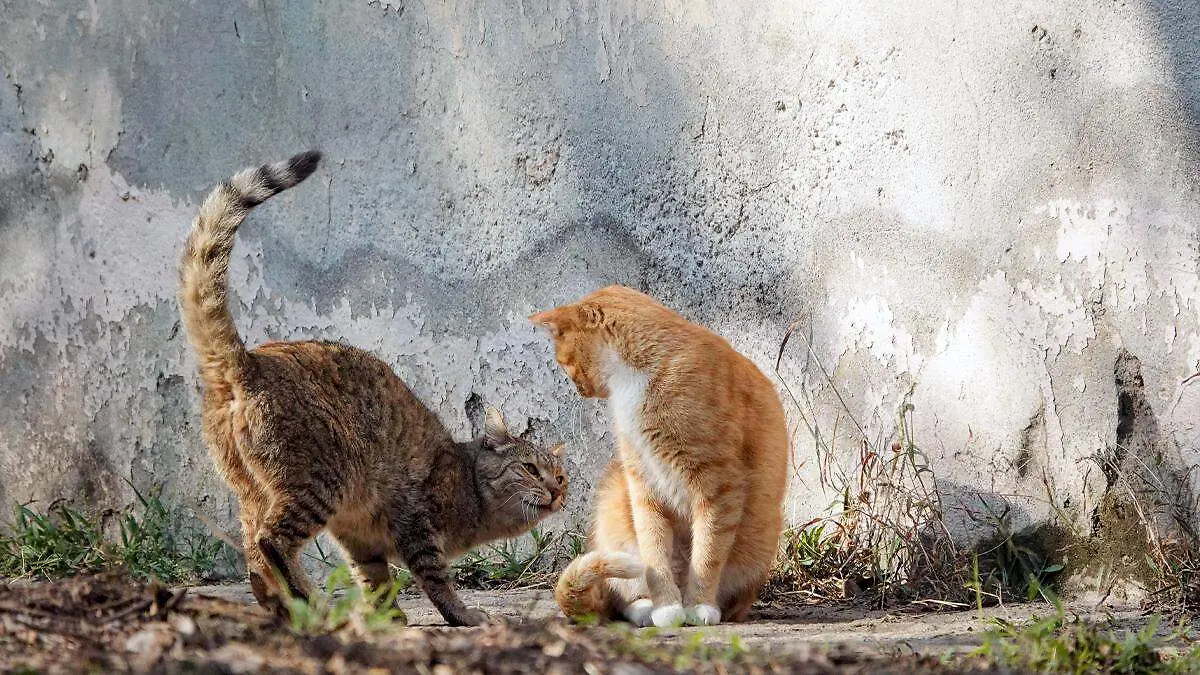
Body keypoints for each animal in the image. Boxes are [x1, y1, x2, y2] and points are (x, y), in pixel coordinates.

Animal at [178, 149, 566, 624]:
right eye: (529, 467)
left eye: (562, 477)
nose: (555, 491)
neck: (470, 487)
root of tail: (247, 362)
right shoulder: (414, 519)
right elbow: (435, 577)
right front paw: (462, 614)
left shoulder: (359, 537)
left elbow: (375, 580)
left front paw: (389, 620)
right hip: (319, 478)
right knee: (272, 541)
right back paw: (311, 601)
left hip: (254, 492)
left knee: (254, 555)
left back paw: (286, 607)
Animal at [532, 283, 787, 624]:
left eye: (564, 362)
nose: (579, 390)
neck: (633, 382)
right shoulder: (642, 483)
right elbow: (653, 552)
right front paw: (666, 606)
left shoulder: (718, 485)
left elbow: (707, 553)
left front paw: (699, 605)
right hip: (615, 502)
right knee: (621, 595)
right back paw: (645, 608)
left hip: (760, 541)